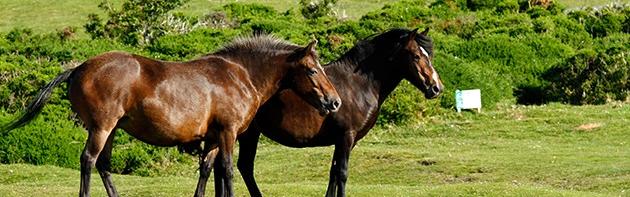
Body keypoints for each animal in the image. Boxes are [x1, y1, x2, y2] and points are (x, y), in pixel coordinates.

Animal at [2, 35, 344, 197]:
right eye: (313, 70)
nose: (334, 102)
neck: (239, 74)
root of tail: (78, 68)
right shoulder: (228, 133)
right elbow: (227, 171)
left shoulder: (212, 137)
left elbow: (206, 171)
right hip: (101, 127)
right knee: (88, 160)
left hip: (111, 130)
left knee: (103, 164)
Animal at [227, 28, 444, 196]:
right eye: (416, 56)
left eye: (428, 55)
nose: (436, 88)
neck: (357, 84)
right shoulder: (346, 136)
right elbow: (342, 173)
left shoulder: (345, 140)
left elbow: (333, 173)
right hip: (247, 134)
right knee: (245, 166)